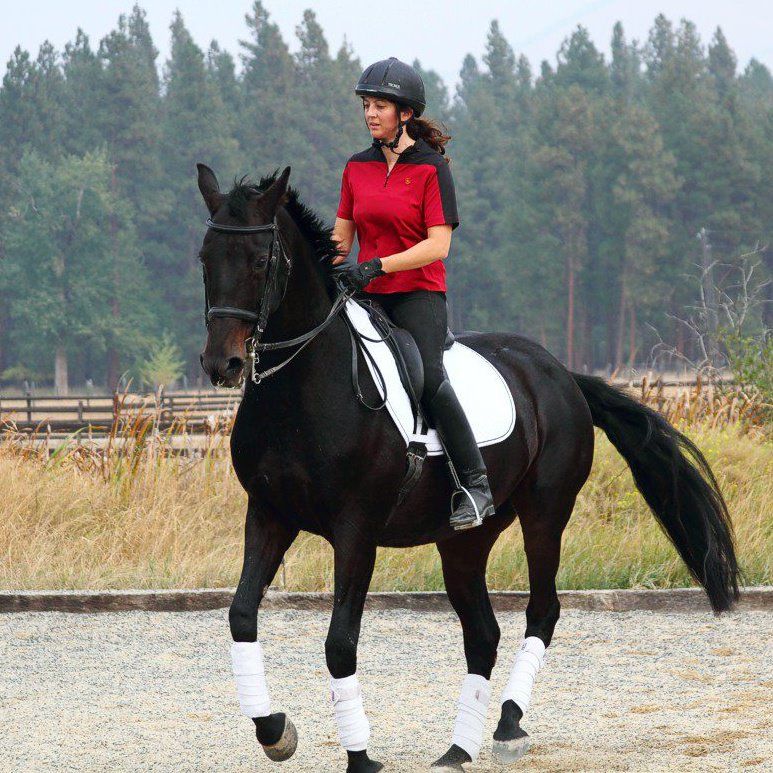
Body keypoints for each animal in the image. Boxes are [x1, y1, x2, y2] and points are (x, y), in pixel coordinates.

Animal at [195, 163, 739, 772]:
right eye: (205, 258)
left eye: (260, 261)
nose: (222, 364)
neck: (302, 390)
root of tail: (561, 373)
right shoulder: (268, 515)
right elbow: (241, 615)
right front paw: (274, 730)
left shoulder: (355, 531)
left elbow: (339, 643)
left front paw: (360, 756)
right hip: (463, 540)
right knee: (482, 634)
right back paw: (458, 747)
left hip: (545, 513)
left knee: (542, 611)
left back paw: (507, 721)